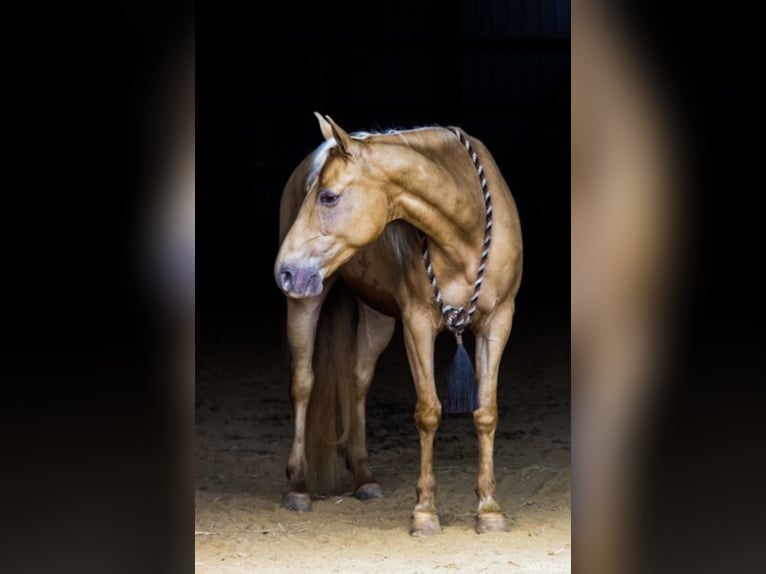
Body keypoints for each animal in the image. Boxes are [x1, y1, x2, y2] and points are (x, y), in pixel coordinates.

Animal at [274, 115, 520, 536]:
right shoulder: (417, 323)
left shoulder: (498, 323)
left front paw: (489, 509)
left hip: (377, 317)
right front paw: (425, 511)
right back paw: (299, 487)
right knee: (303, 383)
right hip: (306, 301)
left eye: (328, 197)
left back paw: (364, 478)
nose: (284, 271)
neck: (466, 231)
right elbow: (428, 412)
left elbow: (486, 412)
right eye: (314, 193)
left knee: (358, 381)